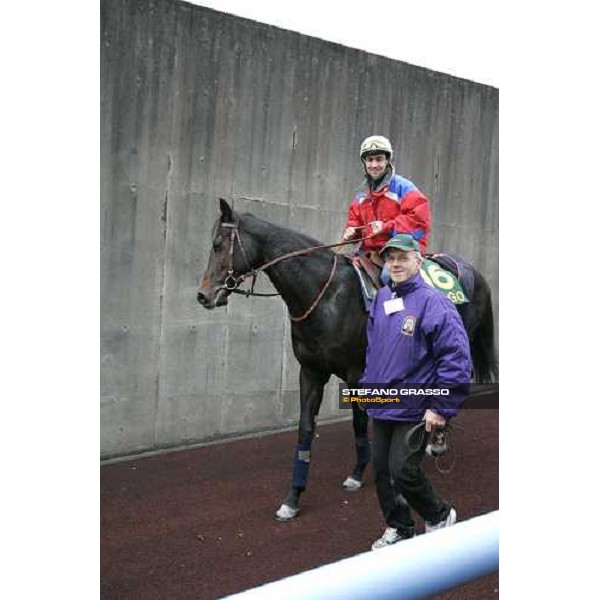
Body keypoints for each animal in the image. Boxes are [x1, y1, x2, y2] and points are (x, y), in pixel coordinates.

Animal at [197, 200, 496, 520]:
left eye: (217, 244)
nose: (204, 295)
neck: (326, 295)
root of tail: (473, 271)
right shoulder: (311, 372)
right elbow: (305, 429)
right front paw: (293, 498)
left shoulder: (357, 373)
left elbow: (358, 422)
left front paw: (357, 474)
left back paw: (437, 441)